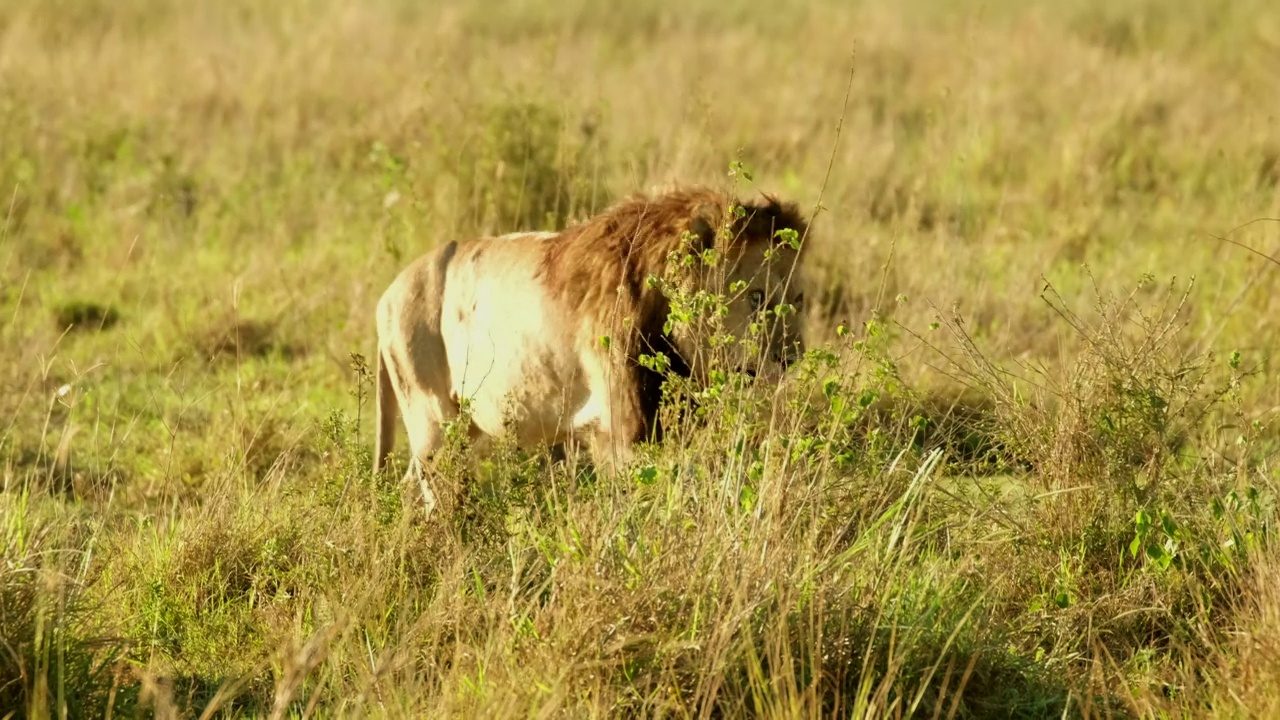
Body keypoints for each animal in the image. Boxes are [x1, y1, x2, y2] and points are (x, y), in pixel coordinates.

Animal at [373, 185, 808, 504]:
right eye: (756, 298)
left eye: (798, 300)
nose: (791, 358)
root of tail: (388, 293)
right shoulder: (622, 426)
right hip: (432, 419)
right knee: (431, 486)